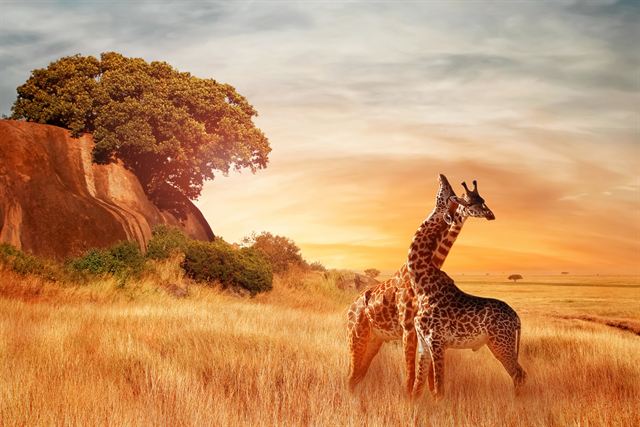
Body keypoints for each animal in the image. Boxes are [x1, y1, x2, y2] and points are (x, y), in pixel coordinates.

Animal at [346, 174, 494, 393]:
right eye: (467, 200)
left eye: (481, 200)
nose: (490, 214)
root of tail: (349, 308)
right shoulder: (409, 328)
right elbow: (412, 375)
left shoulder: (424, 331)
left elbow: (428, 377)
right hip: (357, 336)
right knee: (351, 375)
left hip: (374, 340)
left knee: (357, 375)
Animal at [407, 180, 527, 400]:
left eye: (446, 195)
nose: (442, 178)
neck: (422, 286)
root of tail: (517, 318)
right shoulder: (423, 344)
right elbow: (417, 388)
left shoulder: (436, 341)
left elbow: (439, 389)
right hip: (498, 343)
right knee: (519, 374)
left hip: (501, 343)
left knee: (519, 374)